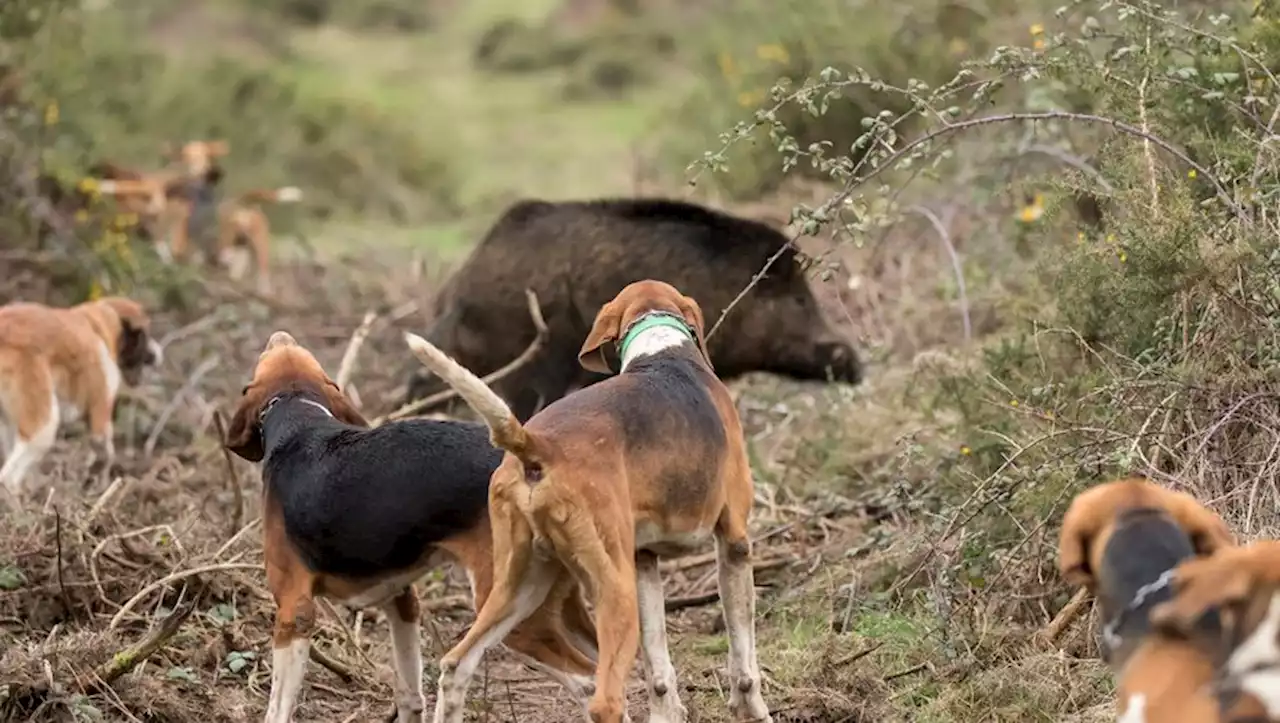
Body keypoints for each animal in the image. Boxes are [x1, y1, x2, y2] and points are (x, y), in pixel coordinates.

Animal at [0, 295, 165, 499]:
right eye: (144, 334)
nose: (158, 354)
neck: (100, 325)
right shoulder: (101, 404)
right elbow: (102, 444)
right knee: (20, 462)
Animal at [226, 330, 604, 721]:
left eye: (272, 353)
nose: (279, 335)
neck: (299, 415)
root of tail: (535, 457)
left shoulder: (293, 611)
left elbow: (277, 708)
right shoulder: (402, 600)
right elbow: (409, 692)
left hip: (516, 611)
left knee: (588, 683)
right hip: (565, 606)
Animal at [407, 278, 768, 721]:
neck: (661, 350)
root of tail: (535, 444)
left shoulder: (643, 561)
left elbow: (660, 675)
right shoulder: (734, 542)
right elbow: (743, 660)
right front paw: (753, 707)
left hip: (517, 588)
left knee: (456, 666)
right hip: (613, 593)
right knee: (604, 700)